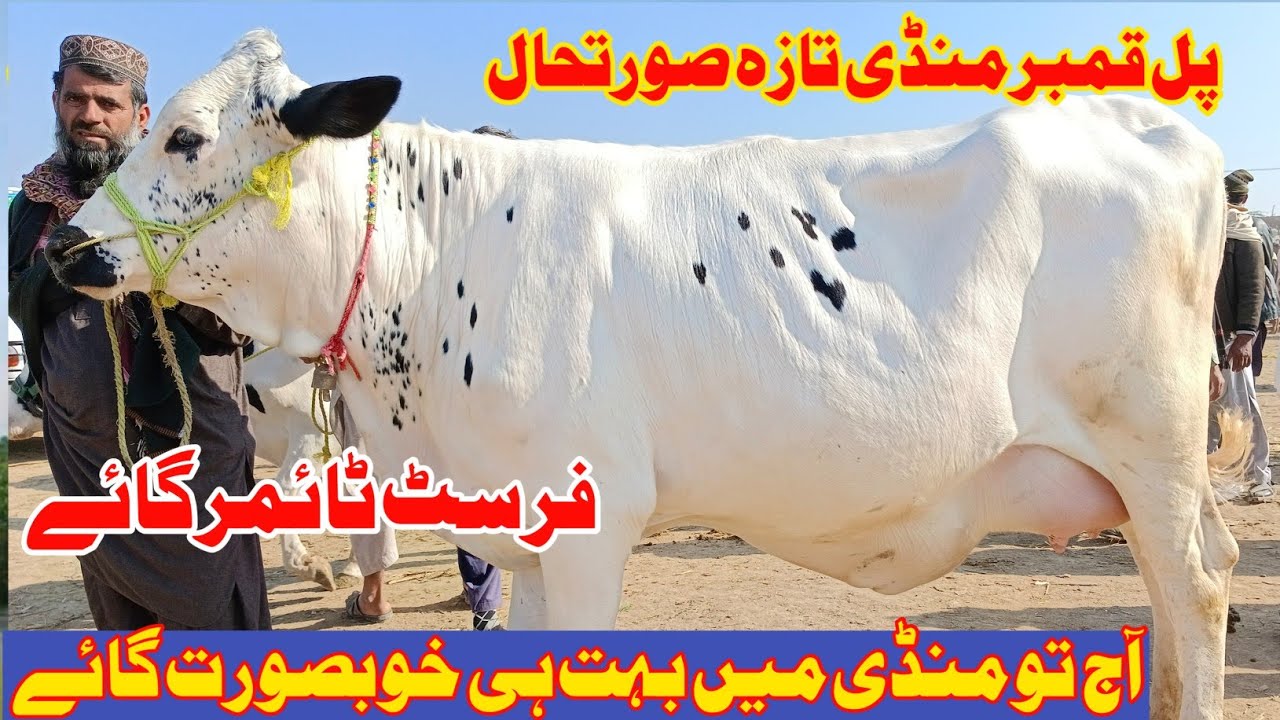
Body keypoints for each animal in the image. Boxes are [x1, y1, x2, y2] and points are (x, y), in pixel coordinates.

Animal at [44, 29, 1250, 719]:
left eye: (187, 137)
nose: (65, 249)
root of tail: (1147, 124)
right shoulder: (522, 526)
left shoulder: (592, 525)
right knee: (1185, 588)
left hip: (1150, 447)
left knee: (1193, 593)